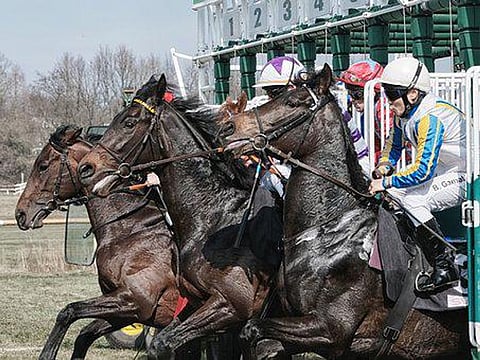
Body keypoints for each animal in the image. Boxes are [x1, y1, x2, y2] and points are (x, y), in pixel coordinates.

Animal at [14, 124, 200, 360]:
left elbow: (68, 311)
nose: (21, 214)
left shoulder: (136, 301)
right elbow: (83, 335)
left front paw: (47, 354)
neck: (130, 228)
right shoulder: (127, 312)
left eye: (43, 166)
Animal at [217, 64, 468, 358]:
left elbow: (252, 328)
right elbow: (258, 340)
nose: (228, 128)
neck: (327, 229)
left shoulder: (331, 330)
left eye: (292, 102)